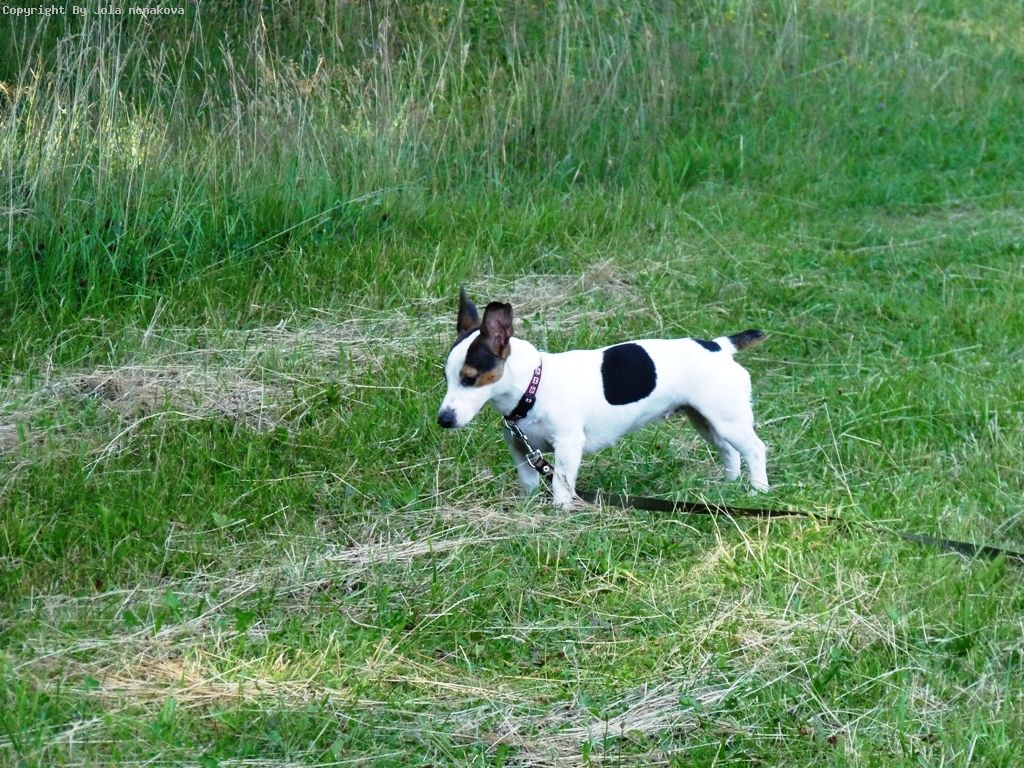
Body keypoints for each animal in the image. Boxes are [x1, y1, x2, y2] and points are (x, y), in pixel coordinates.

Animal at [437, 288, 769, 508]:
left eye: (469, 378)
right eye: (446, 377)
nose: (443, 420)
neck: (533, 387)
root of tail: (720, 347)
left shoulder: (568, 446)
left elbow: (560, 484)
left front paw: (560, 513)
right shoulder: (521, 450)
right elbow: (529, 483)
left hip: (728, 420)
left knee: (754, 449)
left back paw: (758, 490)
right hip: (706, 420)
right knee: (729, 451)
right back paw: (728, 487)